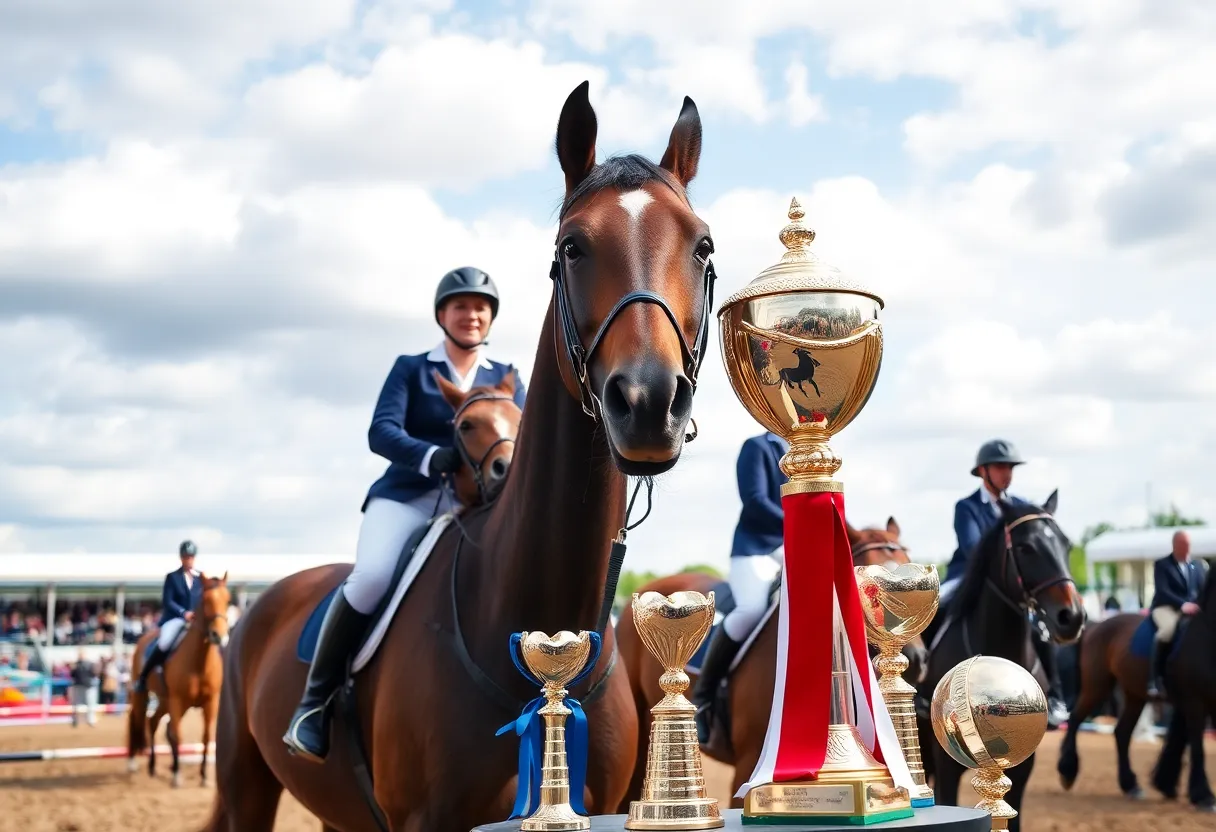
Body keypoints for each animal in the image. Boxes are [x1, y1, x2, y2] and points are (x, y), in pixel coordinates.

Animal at [126, 573, 231, 788]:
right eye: (205, 600)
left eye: (228, 600)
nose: (219, 636)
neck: (199, 662)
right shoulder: (177, 700)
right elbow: (177, 735)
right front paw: (177, 775)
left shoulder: (211, 702)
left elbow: (206, 737)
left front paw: (204, 777)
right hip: (145, 695)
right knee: (137, 719)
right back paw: (133, 764)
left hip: (166, 701)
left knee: (153, 722)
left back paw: (153, 767)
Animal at [1058, 566, 1215, 811]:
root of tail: (1095, 626)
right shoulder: (1195, 702)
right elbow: (1197, 747)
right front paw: (1204, 796)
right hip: (1097, 686)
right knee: (1075, 719)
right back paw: (1067, 772)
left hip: (1134, 695)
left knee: (1121, 732)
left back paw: (1131, 785)